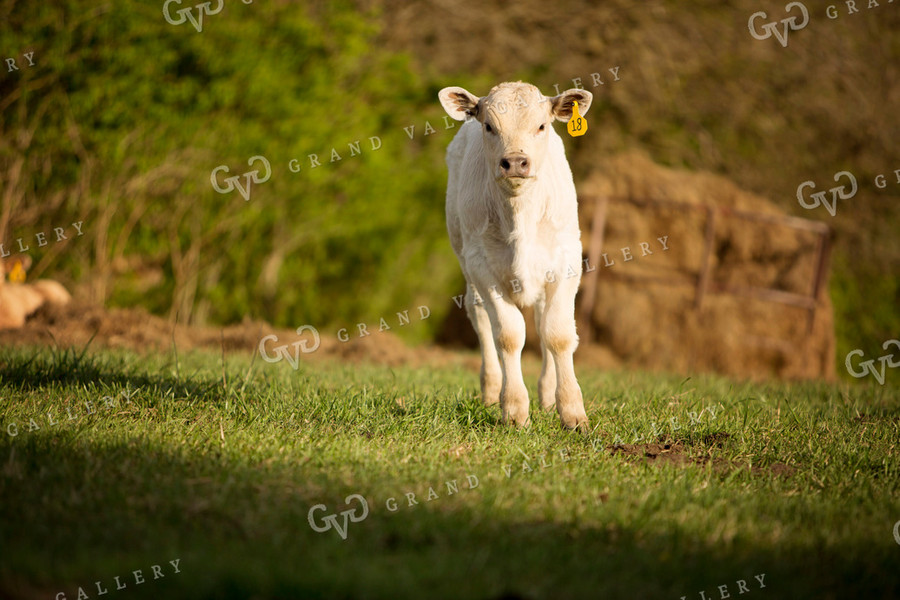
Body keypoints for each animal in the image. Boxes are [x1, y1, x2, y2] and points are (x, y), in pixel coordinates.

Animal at [442, 81, 596, 432]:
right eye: (489, 126)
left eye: (541, 126)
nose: (514, 162)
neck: (520, 214)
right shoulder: (482, 265)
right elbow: (509, 336)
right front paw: (513, 409)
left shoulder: (566, 259)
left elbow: (558, 334)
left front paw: (572, 411)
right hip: (465, 260)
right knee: (481, 317)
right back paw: (491, 390)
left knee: (541, 321)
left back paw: (548, 396)